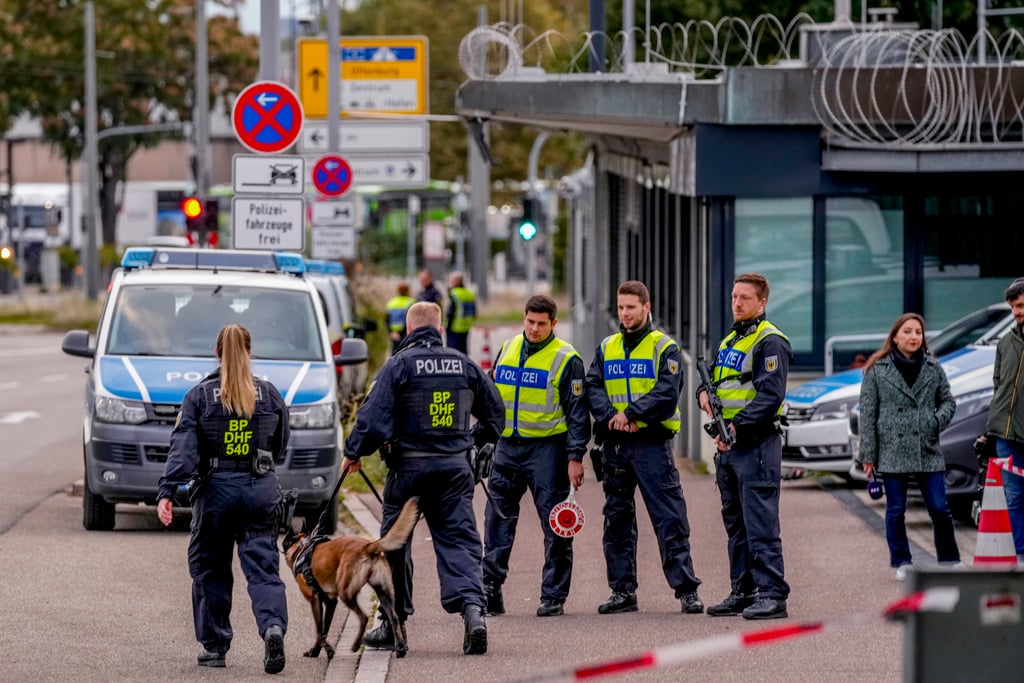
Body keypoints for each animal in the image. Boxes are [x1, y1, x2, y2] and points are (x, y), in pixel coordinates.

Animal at [280, 499, 419, 659]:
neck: (302, 548)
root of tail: (367, 547)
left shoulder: (314, 599)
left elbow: (319, 631)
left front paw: (327, 650)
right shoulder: (331, 602)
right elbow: (324, 630)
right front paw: (315, 651)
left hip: (345, 594)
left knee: (364, 617)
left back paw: (356, 645)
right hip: (384, 593)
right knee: (394, 617)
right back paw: (400, 648)